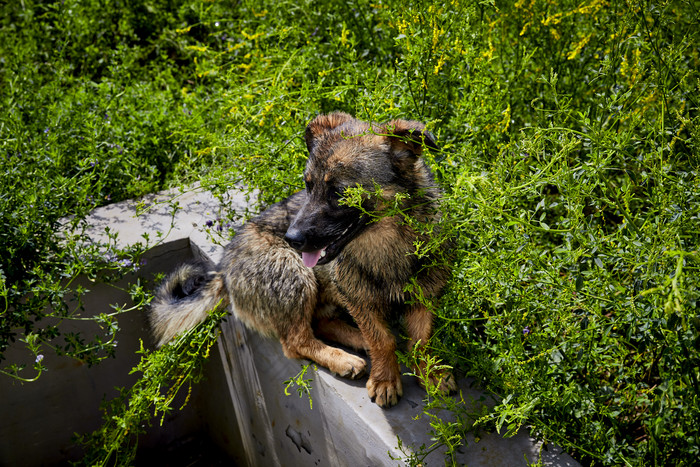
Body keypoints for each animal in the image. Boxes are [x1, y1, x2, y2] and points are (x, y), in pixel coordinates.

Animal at [148, 111, 456, 408]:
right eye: (308, 186)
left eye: (339, 192)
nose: (291, 237)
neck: (387, 245)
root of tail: (222, 270)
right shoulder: (358, 300)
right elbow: (382, 339)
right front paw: (385, 379)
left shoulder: (426, 293)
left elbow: (421, 340)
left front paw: (430, 371)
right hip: (293, 274)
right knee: (295, 342)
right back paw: (343, 357)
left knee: (319, 323)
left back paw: (354, 340)